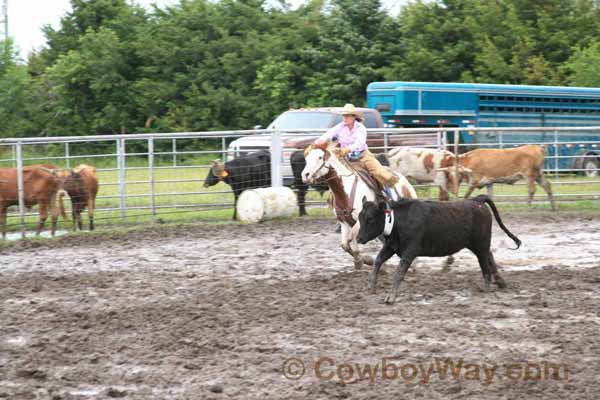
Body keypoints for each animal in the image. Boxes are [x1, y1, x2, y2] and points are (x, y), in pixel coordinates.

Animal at [300, 142, 418, 270]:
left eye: (320, 157)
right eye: (306, 158)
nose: (305, 175)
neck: (344, 192)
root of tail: (405, 182)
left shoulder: (359, 221)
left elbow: (352, 237)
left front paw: (362, 260)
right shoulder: (344, 221)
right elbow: (345, 244)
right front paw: (363, 261)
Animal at [356, 195, 520, 304]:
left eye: (370, 219)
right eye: (359, 217)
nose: (358, 238)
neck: (398, 220)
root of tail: (477, 200)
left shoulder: (410, 251)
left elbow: (399, 272)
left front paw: (390, 297)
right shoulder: (391, 246)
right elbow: (378, 261)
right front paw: (371, 286)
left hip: (481, 243)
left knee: (485, 265)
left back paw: (486, 289)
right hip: (477, 244)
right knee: (489, 256)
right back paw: (501, 283)